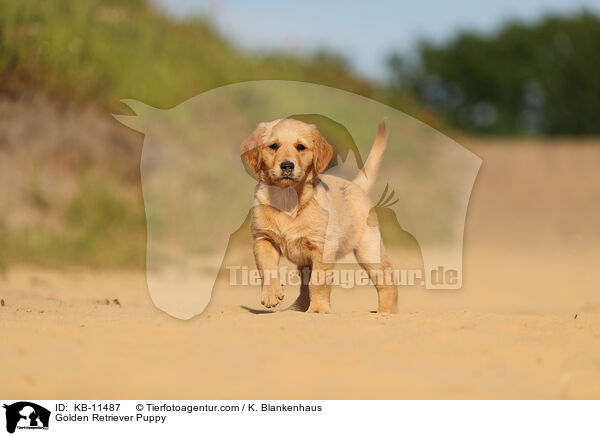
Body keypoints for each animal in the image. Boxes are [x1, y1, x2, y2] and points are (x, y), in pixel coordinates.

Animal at [241, 118, 396, 314]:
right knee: (304, 287)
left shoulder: (322, 247)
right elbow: (267, 268)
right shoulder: (263, 239)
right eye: (273, 146)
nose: (287, 166)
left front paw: (318, 310)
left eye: (300, 147)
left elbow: (318, 282)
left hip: (369, 251)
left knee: (387, 281)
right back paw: (295, 308)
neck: (288, 199)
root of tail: (355, 186)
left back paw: (387, 311)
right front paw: (271, 294)